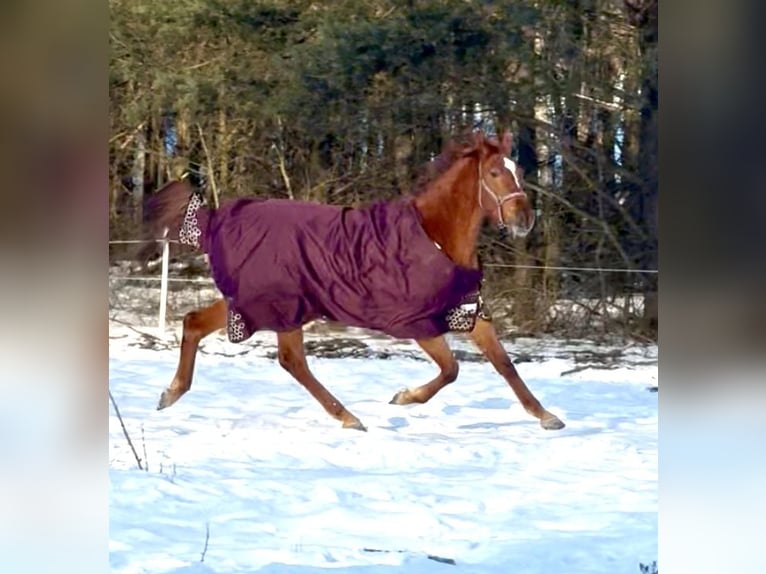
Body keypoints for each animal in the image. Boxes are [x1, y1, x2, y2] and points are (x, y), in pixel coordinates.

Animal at [142, 130, 565, 432]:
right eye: (494, 173)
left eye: (519, 172)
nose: (524, 220)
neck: (437, 234)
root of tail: (215, 220)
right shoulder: (418, 324)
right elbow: (451, 370)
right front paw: (403, 398)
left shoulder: (467, 312)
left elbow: (504, 363)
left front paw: (548, 417)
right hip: (279, 306)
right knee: (292, 360)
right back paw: (349, 418)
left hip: (253, 303)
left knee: (196, 323)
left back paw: (170, 394)